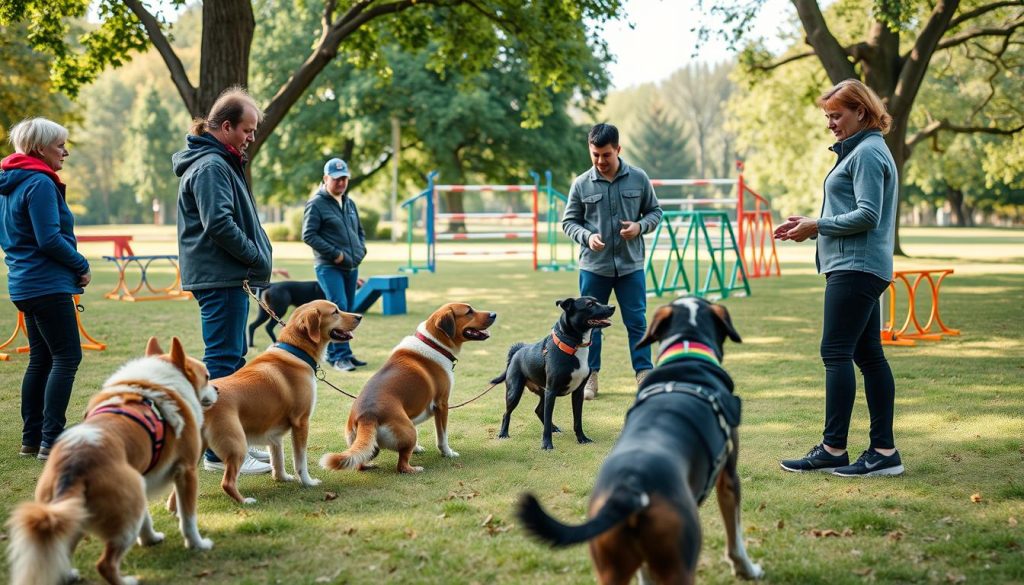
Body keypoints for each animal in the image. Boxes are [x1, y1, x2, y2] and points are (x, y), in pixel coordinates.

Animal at [5, 336, 216, 581]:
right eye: (207, 376)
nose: (218, 388)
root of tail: (75, 465)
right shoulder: (186, 471)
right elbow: (188, 519)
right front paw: (197, 544)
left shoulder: (141, 479)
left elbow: (146, 519)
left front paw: (150, 539)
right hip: (124, 515)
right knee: (104, 564)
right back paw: (127, 581)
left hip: (78, 511)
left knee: (62, 551)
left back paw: (69, 575)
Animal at [198, 299, 360, 506]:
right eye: (335, 312)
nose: (359, 316)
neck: (296, 351)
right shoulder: (301, 422)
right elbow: (300, 460)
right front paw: (307, 482)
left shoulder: (274, 433)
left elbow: (278, 458)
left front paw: (282, 478)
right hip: (237, 445)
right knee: (227, 483)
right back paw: (245, 501)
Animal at [319, 305, 495, 473]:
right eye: (469, 311)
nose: (494, 314)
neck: (434, 344)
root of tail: (367, 416)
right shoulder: (442, 405)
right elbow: (442, 437)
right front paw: (448, 453)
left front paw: (416, 449)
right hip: (409, 431)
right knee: (401, 466)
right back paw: (414, 469)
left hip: (371, 445)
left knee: (359, 463)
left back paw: (369, 465)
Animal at [491, 297, 610, 452]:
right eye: (589, 304)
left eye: (597, 301)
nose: (612, 307)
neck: (572, 347)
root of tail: (517, 350)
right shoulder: (552, 391)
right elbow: (547, 421)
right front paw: (547, 444)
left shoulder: (578, 392)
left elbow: (577, 420)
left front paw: (582, 438)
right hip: (515, 392)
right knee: (507, 413)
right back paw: (503, 433)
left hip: (543, 392)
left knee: (539, 410)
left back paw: (554, 428)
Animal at [516, 297, 765, 585]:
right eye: (589, 304)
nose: (611, 307)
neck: (687, 354)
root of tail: (631, 487)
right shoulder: (729, 480)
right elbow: (735, 540)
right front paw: (747, 569)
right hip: (678, 565)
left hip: (611, 566)